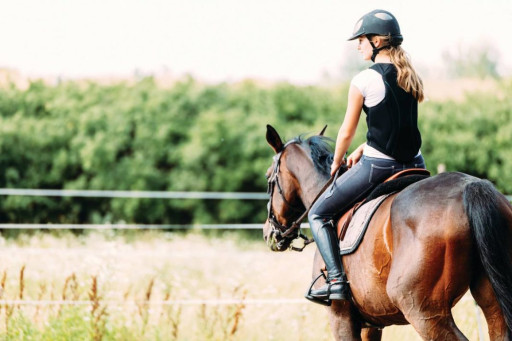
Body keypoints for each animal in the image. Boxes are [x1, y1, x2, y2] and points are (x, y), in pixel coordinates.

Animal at [264, 125, 512, 340]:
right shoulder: (371, 325)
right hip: (492, 301)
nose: (268, 233)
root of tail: (470, 186)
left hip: (424, 312)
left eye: (268, 179)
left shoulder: (340, 318)